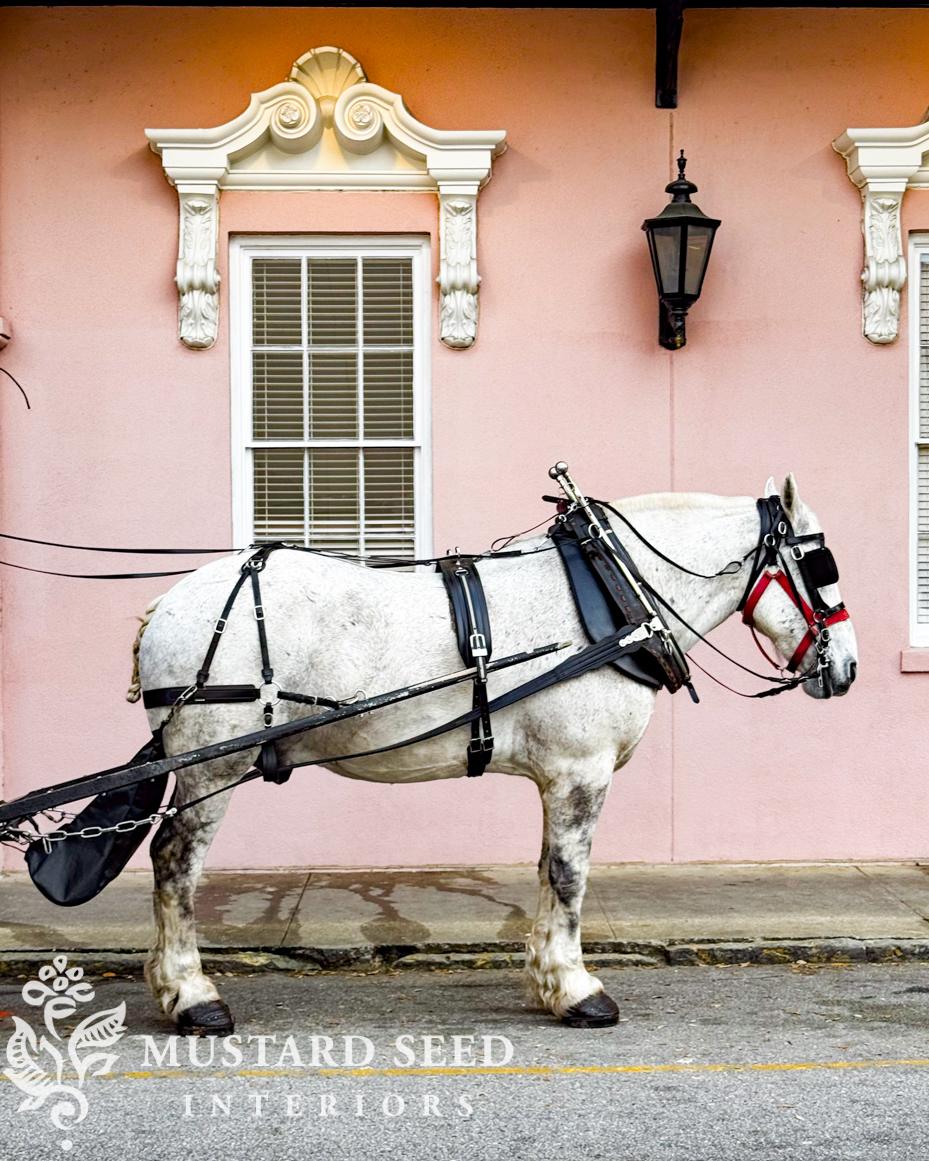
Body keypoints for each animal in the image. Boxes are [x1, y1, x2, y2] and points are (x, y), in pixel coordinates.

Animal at [132, 473, 857, 1035]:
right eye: (821, 564)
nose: (847, 667)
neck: (614, 593)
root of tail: (166, 601)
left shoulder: (559, 776)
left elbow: (545, 870)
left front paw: (547, 978)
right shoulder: (580, 769)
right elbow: (568, 876)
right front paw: (578, 990)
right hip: (211, 764)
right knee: (174, 862)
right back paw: (192, 997)